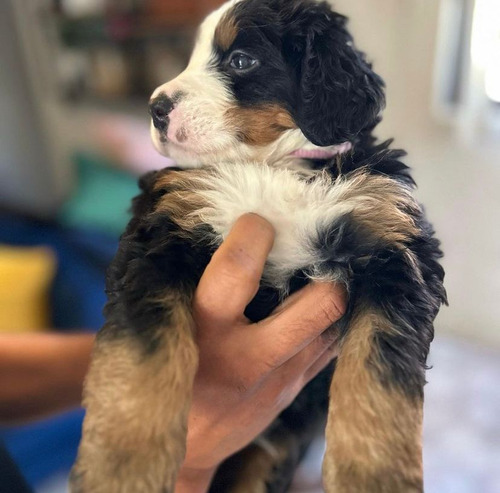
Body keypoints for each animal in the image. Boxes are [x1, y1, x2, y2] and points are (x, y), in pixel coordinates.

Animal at [69, 0, 446, 492]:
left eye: (241, 60)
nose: (155, 108)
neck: (274, 166)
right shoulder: (162, 229)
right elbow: (142, 353)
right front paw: (121, 466)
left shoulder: (393, 247)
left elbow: (380, 378)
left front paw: (373, 476)